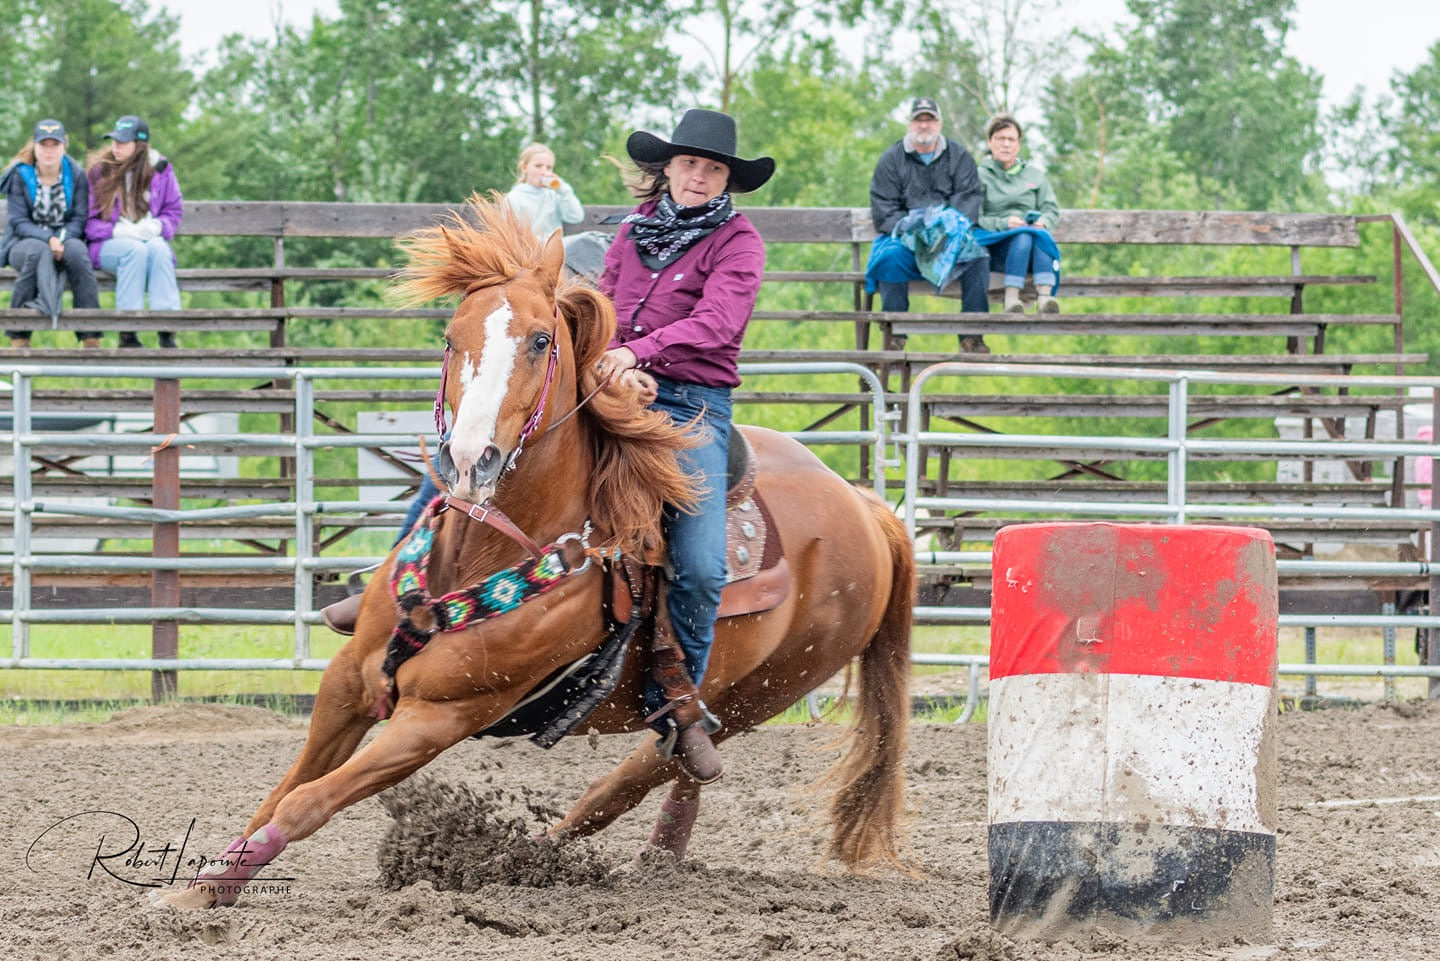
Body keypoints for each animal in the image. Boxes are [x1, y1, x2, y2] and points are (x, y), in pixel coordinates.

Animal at [160, 197, 910, 910]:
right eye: (450, 337)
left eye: (541, 339)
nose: (470, 460)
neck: (484, 552)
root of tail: (864, 507)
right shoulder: (349, 680)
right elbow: (284, 786)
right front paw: (207, 880)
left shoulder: (439, 716)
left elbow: (306, 800)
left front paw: (208, 885)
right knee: (667, 782)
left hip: (762, 693)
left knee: (631, 780)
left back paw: (537, 857)